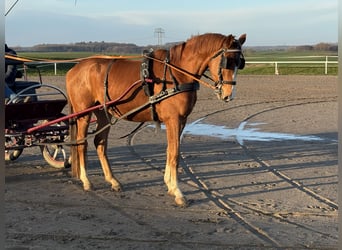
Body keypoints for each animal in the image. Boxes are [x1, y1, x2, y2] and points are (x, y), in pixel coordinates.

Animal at [65, 32, 246, 207]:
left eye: (240, 63)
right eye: (228, 61)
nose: (229, 95)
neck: (178, 74)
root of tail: (75, 68)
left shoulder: (181, 120)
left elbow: (170, 151)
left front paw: (170, 185)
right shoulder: (173, 120)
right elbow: (174, 153)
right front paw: (178, 192)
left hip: (104, 113)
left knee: (100, 143)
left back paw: (113, 180)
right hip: (84, 114)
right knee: (82, 143)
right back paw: (86, 180)